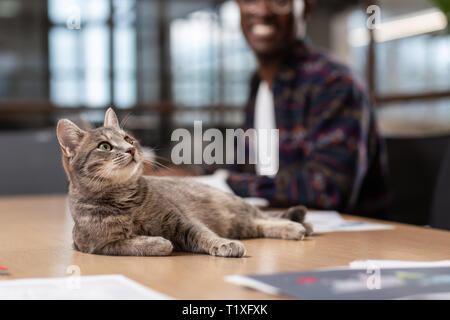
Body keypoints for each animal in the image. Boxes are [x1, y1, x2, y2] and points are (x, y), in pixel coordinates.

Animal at [56, 108, 312, 258]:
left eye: (128, 139)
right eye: (105, 146)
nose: (131, 149)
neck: (125, 201)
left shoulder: (181, 221)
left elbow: (205, 235)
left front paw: (223, 244)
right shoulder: (99, 244)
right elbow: (134, 244)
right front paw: (159, 243)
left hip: (235, 210)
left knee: (264, 217)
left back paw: (298, 226)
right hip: (241, 224)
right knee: (260, 223)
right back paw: (298, 227)